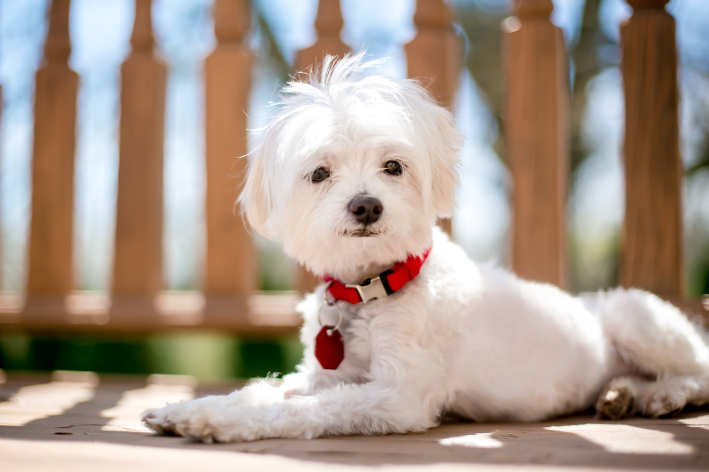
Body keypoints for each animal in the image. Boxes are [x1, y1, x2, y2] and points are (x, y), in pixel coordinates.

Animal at [141, 55, 708, 442]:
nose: (366, 206)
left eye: (393, 166)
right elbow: (267, 389)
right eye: (319, 173)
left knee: (697, 373)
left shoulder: (401, 396)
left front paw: (211, 420)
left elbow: (301, 409)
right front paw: (188, 410)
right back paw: (623, 393)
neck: (371, 289)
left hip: (636, 316)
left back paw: (660, 393)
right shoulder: (328, 374)